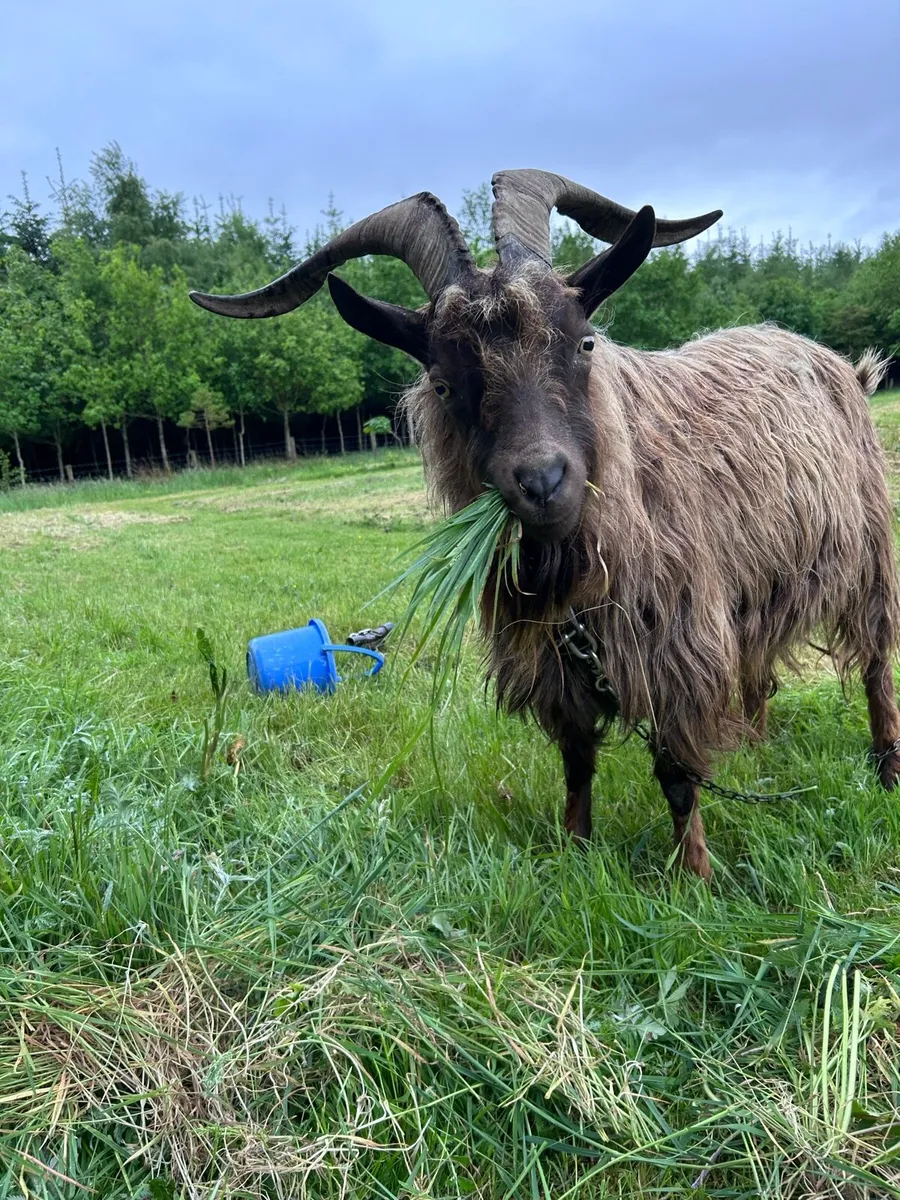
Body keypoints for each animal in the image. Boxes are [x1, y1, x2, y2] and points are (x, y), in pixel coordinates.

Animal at [190, 169, 900, 879]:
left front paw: (692, 876)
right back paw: (754, 746)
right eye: (443, 382)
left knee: (875, 664)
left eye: (583, 342)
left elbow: (676, 774)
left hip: (868, 555)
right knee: (759, 673)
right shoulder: (560, 667)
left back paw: (886, 768)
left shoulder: (675, 646)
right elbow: (577, 763)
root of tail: (843, 367)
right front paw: (575, 854)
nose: (541, 482)